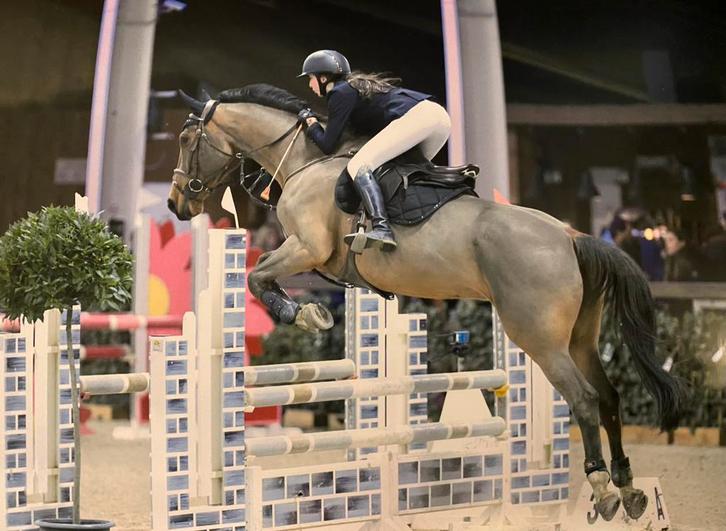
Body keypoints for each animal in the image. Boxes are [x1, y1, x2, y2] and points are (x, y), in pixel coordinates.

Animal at [168, 84, 686, 522]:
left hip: (538, 338)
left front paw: (306, 315)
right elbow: (262, 276)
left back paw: (602, 489)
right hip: (579, 337)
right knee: (610, 397)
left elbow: (257, 276)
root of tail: (570, 235)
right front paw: (309, 312)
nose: (176, 204)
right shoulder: (313, 256)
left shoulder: (307, 248)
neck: (303, 160)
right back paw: (630, 488)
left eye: (187, 138)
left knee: (584, 398)